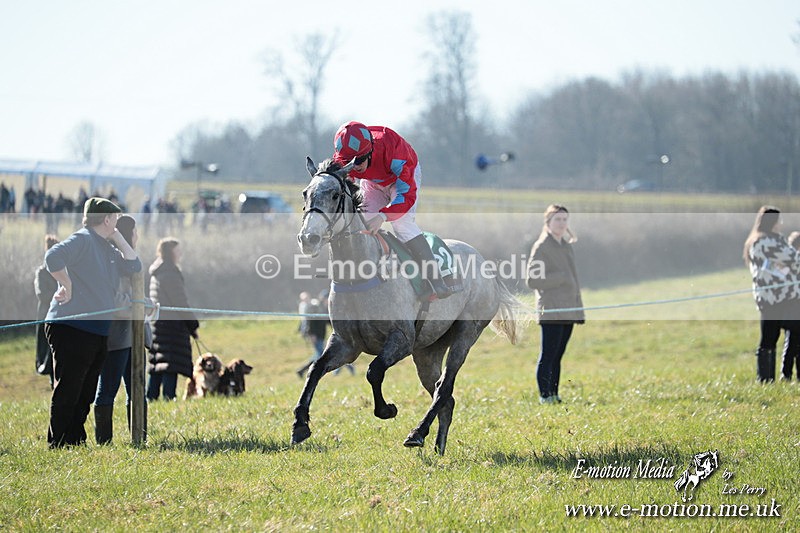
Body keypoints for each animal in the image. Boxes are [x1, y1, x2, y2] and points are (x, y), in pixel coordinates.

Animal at [291, 157, 524, 455]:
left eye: (334, 195)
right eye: (305, 193)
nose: (307, 239)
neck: (360, 274)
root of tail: (486, 265)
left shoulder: (401, 339)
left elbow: (374, 370)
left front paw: (386, 409)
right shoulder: (346, 343)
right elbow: (315, 369)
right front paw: (300, 424)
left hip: (466, 333)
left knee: (444, 388)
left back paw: (418, 433)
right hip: (427, 350)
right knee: (444, 396)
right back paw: (438, 446)